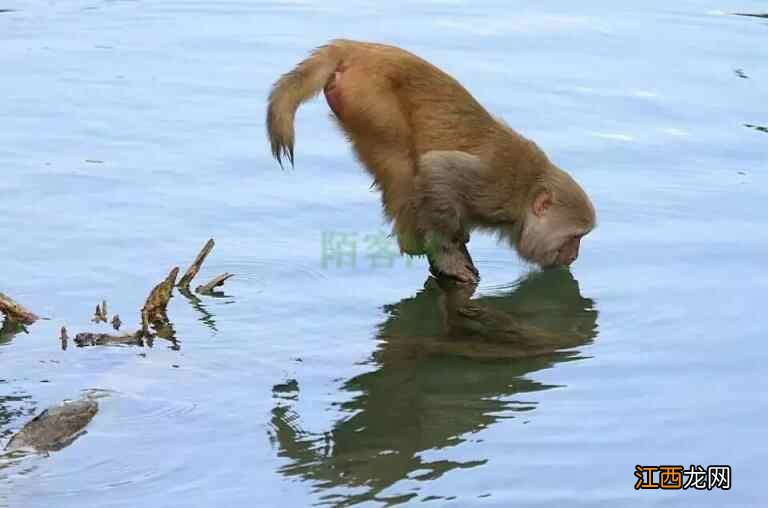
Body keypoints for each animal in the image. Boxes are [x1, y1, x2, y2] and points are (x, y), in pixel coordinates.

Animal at [268, 39, 596, 284]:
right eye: (574, 237)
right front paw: (447, 252)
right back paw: (413, 240)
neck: (524, 195)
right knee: (400, 162)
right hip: (370, 99)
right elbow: (439, 169)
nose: (575, 255)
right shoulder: (494, 187)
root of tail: (354, 48)